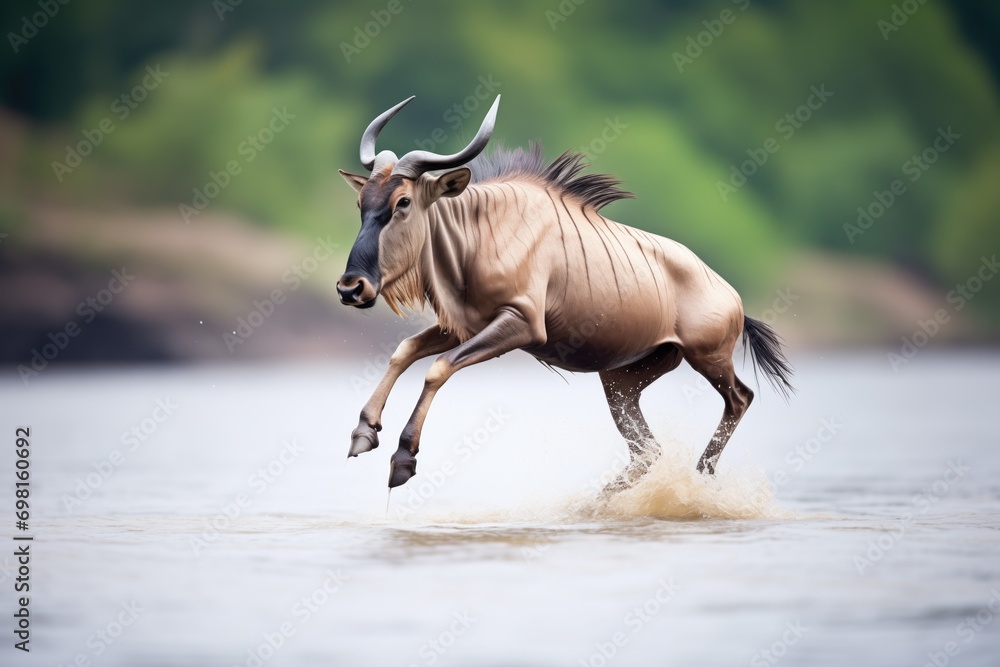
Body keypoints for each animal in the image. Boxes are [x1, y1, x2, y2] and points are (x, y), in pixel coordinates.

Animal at [336, 95, 793, 493]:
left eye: (403, 202)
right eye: (361, 203)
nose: (350, 287)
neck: (478, 231)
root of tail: (733, 298)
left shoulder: (519, 325)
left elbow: (437, 368)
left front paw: (403, 458)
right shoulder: (465, 326)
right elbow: (405, 351)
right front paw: (363, 433)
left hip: (708, 359)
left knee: (740, 398)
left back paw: (700, 475)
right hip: (622, 382)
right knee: (648, 450)